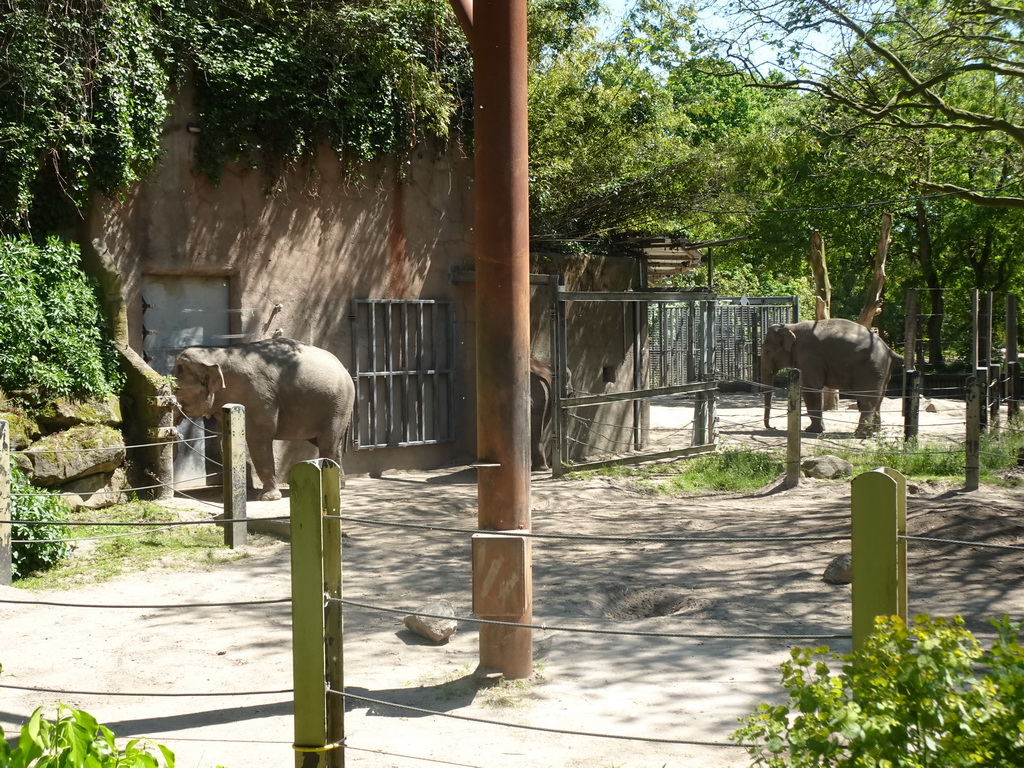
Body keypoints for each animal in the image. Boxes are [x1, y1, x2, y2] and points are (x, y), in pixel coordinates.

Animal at [169, 339, 354, 501]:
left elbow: (259, 439)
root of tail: (344, 368)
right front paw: (226, 497)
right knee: (331, 443)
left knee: (327, 443)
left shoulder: (257, 396)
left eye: (177, 389)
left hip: (338, 404)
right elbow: (223, 441)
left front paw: (267, 498)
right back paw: (339, 485)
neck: (215, 353)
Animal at [757, 319, 901, 436]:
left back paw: (861, 435)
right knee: (879, 399)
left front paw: (812, 430)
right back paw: (876, 432)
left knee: (867, 400)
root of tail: (889, 350)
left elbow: (811, 388)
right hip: (882, 372)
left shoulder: (808, 356)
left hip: (869, 369)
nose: (773, 427)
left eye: (767, 352)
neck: (791, 326)